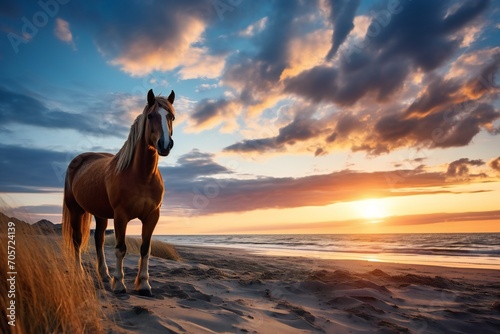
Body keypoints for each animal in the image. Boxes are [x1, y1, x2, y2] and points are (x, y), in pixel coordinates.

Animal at [62, 88, 176, 294]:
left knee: (99, 240)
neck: (142, 177)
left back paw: (104, 275)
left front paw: (144, 284)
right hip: (76, 210)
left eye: (171, 116)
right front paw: (120, 284)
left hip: (100, 214)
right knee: (77, 240)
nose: (164, 144)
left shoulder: (152, 216)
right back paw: (80, 273)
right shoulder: (121, 216)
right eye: (150, 116)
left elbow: (145, 249)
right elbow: (120, 248)